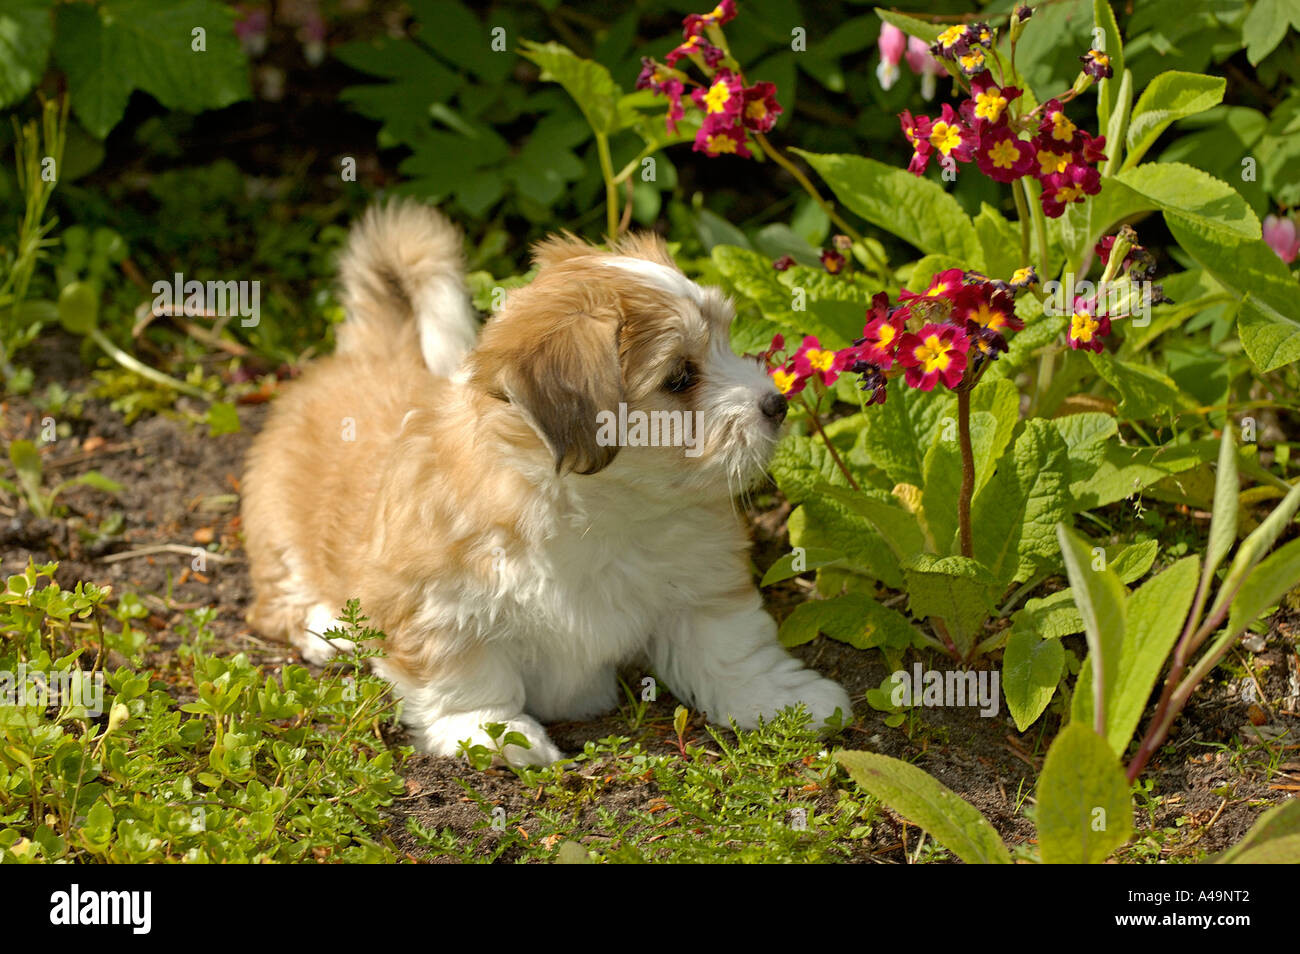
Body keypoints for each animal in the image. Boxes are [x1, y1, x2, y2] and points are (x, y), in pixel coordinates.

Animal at [243, 204, 852, 769]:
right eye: (680, 377)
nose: (777, 403)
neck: (600, 514)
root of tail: (369, 353)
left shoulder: (700, 581)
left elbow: (733, 649)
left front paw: (787, 698)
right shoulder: (438, 601)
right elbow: (464, 676)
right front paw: (494, 732)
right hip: (277, 526)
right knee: (275, 601)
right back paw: (332, 630)